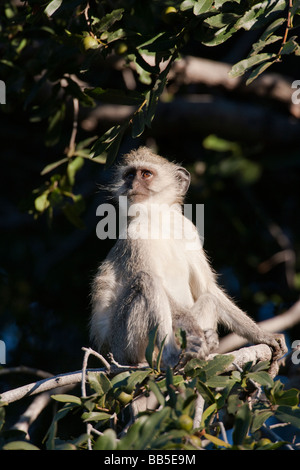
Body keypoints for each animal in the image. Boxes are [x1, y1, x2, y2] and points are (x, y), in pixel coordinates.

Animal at [89, 147, 288, 368]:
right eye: (129, 175)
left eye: (146, 174)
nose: (131, 185)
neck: (159, 220)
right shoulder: (134, 239)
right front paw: (198, 336)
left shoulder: (189, 230)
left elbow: (207, 289)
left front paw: (263, 335)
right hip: (123, 346)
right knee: (147, 281)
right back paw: (171, 355)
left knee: (208, 299)